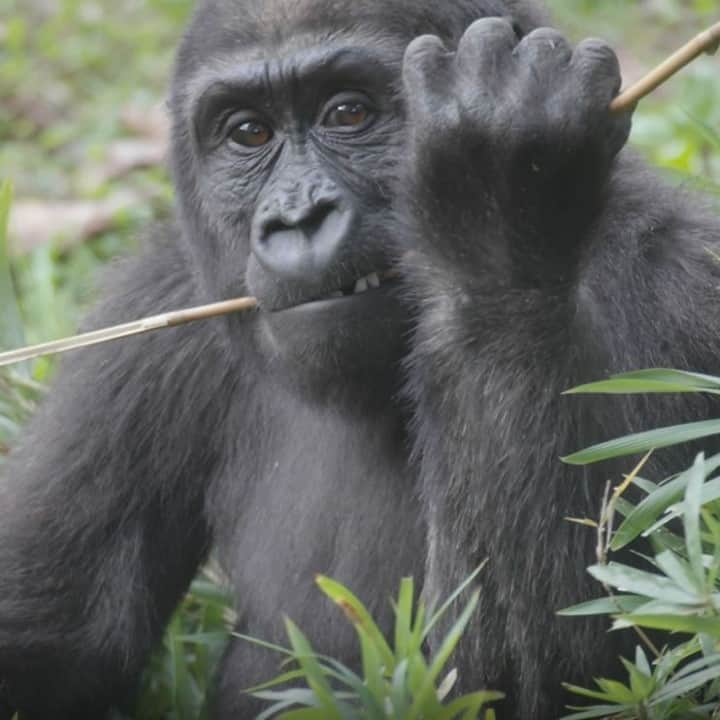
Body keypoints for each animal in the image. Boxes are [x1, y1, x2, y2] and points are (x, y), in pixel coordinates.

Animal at [1, 0, 720, 716]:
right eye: (248, 133)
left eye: (347, 114)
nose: (297, 218)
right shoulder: (150, 316)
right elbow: (50, 649)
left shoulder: (676, 285)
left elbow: (581, 671)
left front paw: (495, 212)